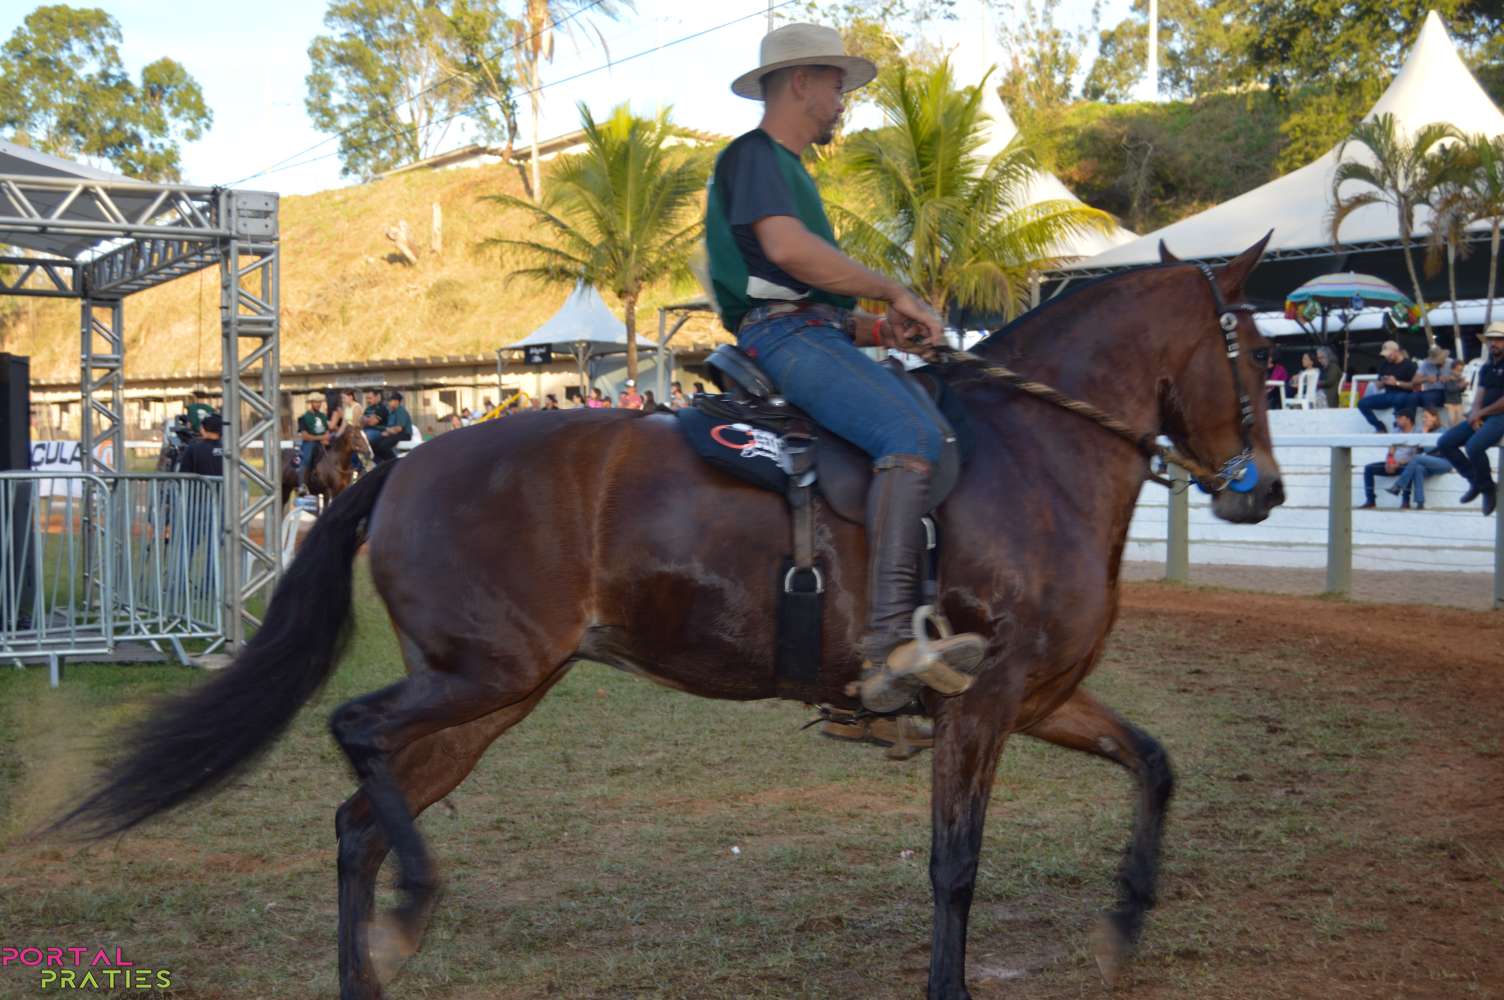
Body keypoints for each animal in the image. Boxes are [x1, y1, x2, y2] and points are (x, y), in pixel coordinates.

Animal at [55, 236, 1285, 1000]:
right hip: (479, 677)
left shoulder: (1039, 696)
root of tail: (404, 466)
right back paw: (413, 903)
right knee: (354, 737)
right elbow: (955, 864)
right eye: (1261, 349)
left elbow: (1155, 762)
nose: (1263, 490)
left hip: (484, 701)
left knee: (359, 820)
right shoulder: (981, 706)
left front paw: (1125, 921)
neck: (1033, 457)